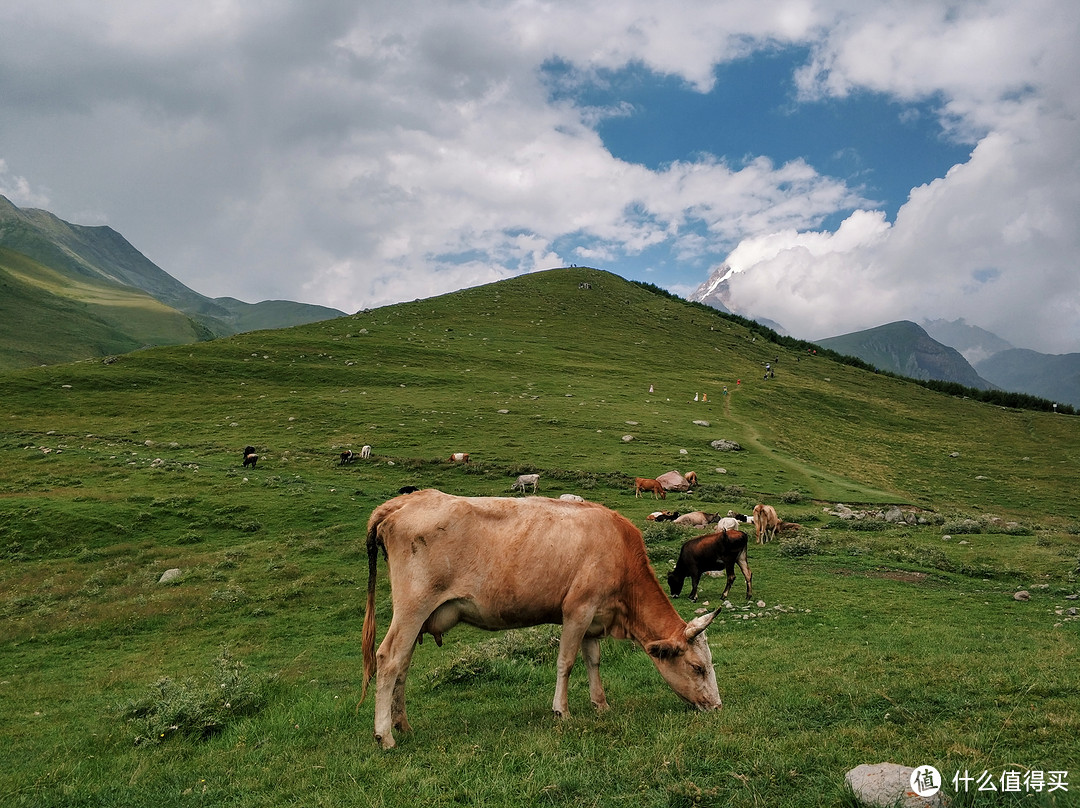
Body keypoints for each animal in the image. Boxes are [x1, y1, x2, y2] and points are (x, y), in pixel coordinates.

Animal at [362, 492, 725, 751]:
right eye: (698, 668)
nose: (718, 707)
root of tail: (407, 499)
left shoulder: (595, 618)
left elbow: (593, 661)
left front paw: (601, 704)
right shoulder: (578, 608)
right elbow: (566, 661)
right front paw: (562, 711)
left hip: (418, 616)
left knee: (403, 664)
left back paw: (403, 724)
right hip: (413, 606)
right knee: (388, 659)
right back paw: (384, 735)